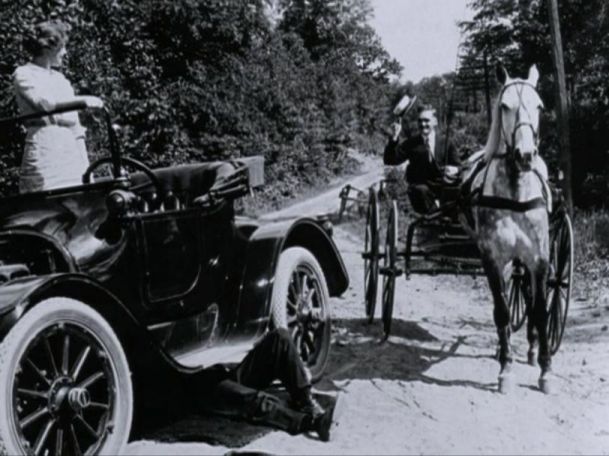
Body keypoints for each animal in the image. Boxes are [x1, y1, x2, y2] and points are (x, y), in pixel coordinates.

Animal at [460, 65, 556, 396]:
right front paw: (506, 369)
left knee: (527, 295)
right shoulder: (492, 258)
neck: (515, 192)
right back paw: (505, 350)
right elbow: (501, 311)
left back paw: (530, 348)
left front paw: (545, 370)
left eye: (539, 106)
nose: (525, 155)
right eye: (504, 106)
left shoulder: (539, 259)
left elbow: (539, 311)